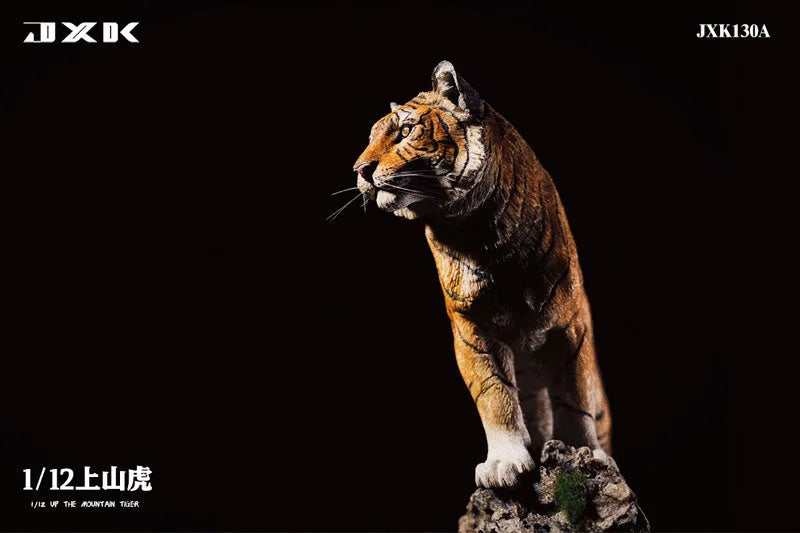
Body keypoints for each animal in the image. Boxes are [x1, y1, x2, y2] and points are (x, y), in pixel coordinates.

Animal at [353, 61, 612, 488]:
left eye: (406, 131)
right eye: (372, 138)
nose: (360, 169)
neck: (474, 230)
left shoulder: (570, 325)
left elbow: (574, 396)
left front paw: (582, 454)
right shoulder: (470, 328)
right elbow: (494, 394)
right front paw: (505, 463)